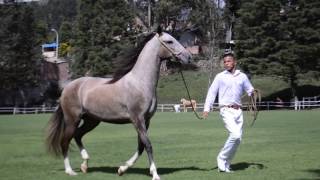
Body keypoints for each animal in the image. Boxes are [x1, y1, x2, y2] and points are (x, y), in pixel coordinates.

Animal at [46, 27, 191, 180]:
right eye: (169, 41)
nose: (188, 57)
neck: (140, 82)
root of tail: (67, 88)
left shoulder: (146, 121)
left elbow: (141, 146)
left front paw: (122, 169)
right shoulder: (137, 119)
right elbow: (148, 145)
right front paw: (155, 174)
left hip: (92, 120)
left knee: (78, 135)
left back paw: (85, 164)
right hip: (72, 120)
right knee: (65, 141)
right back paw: (70, 171)